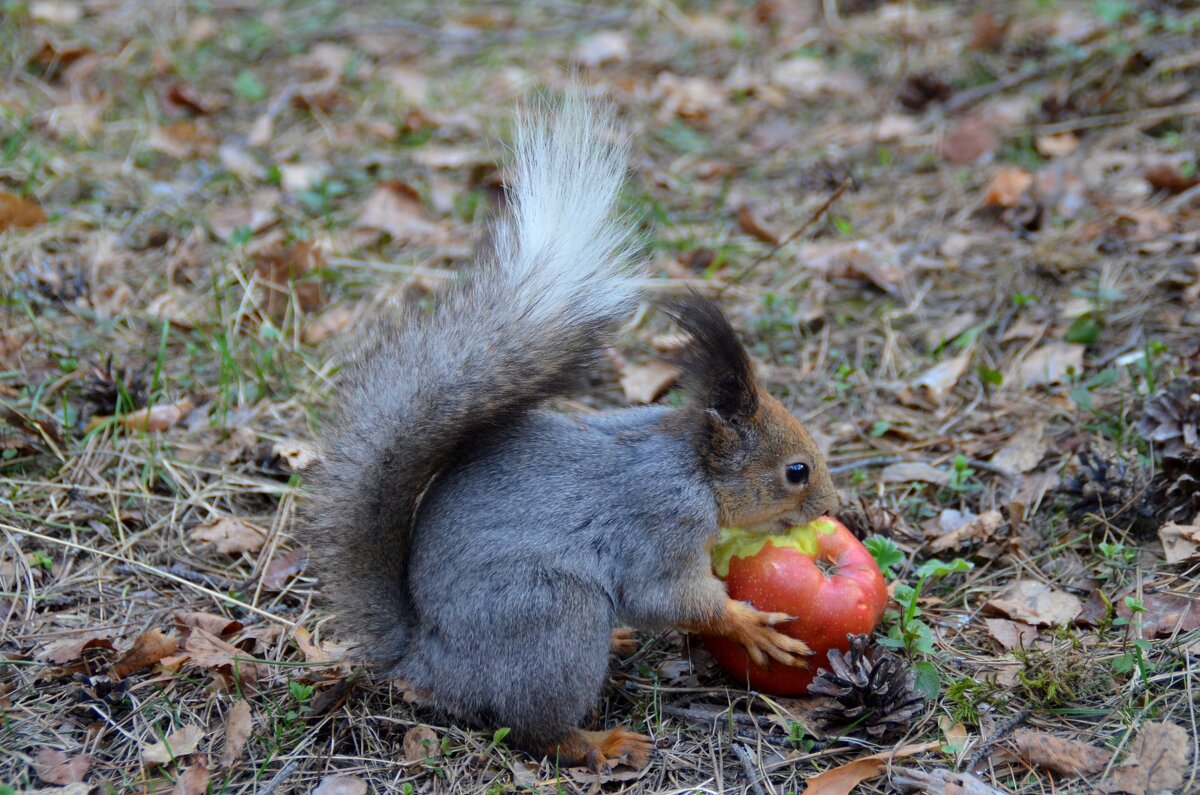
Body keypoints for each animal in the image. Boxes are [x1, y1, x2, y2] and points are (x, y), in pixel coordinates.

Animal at [304, 94, 840, 773]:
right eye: (796, 471)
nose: (832, 507)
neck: (692, 468)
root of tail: (429, 661)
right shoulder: (660, 525)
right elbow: (667, 596)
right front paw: (746, 625)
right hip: (556, 618)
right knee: (536, 729)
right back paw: (600, 743)